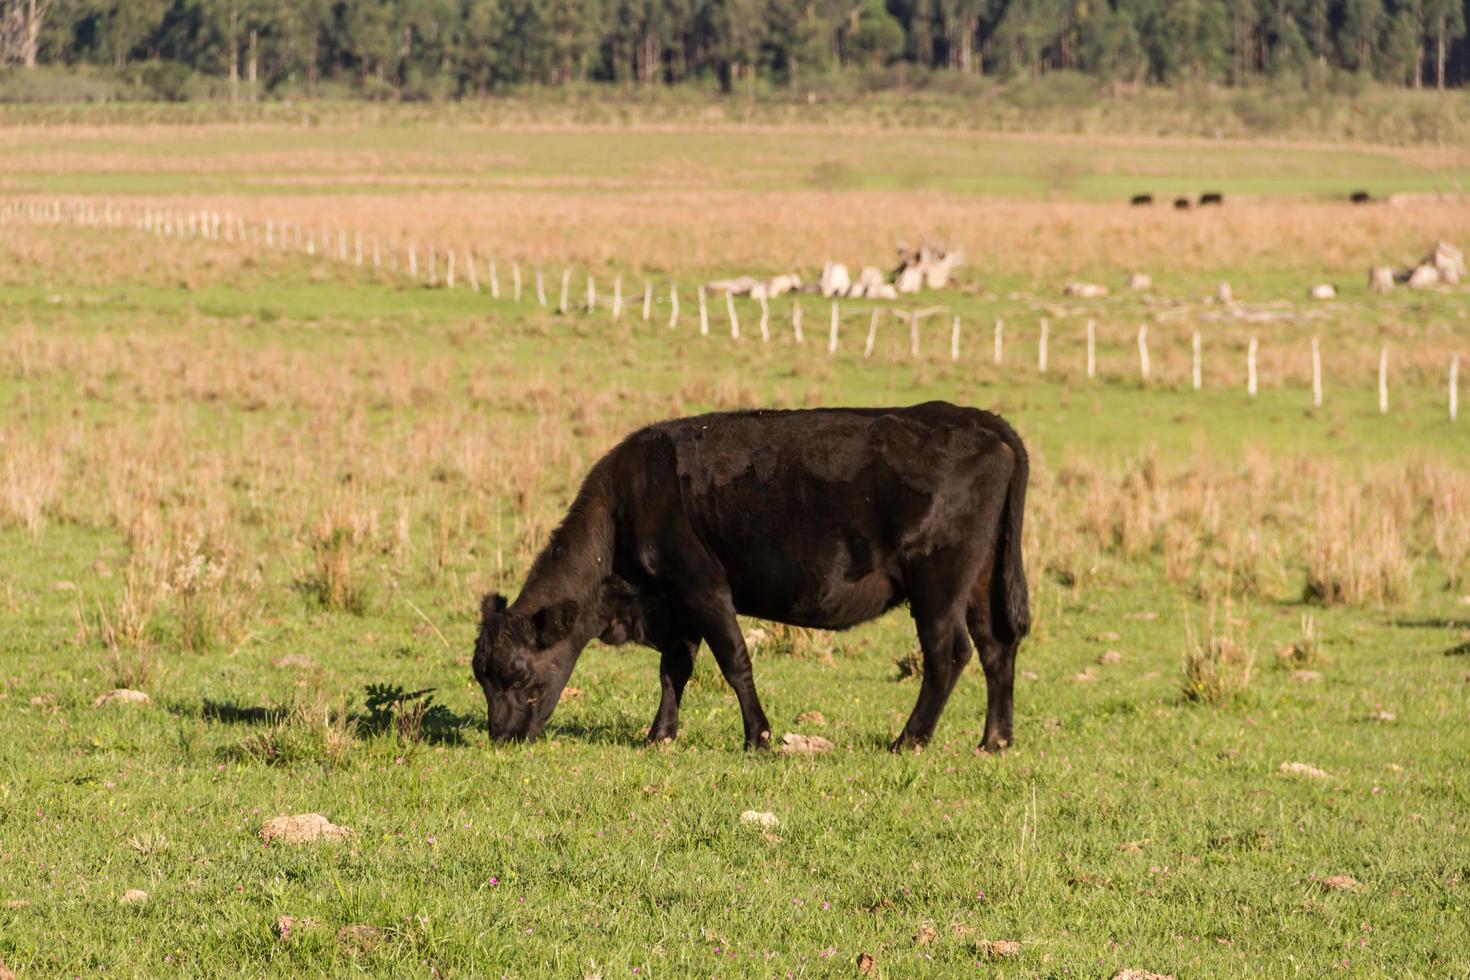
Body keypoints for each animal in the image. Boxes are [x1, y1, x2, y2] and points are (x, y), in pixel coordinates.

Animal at [476, 402, 1029, 758]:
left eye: (517, 676)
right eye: (481, 676)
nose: (499, 737)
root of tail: (980, 420)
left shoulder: (702, 586)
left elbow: (734, 662)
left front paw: (759, 738)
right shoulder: (675, 605)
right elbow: (674, 671)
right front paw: (660, 736)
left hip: (937, 583)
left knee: (948, 654)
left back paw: (908, 740)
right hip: (980, 583)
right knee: (996, 647)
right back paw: (994, 742)